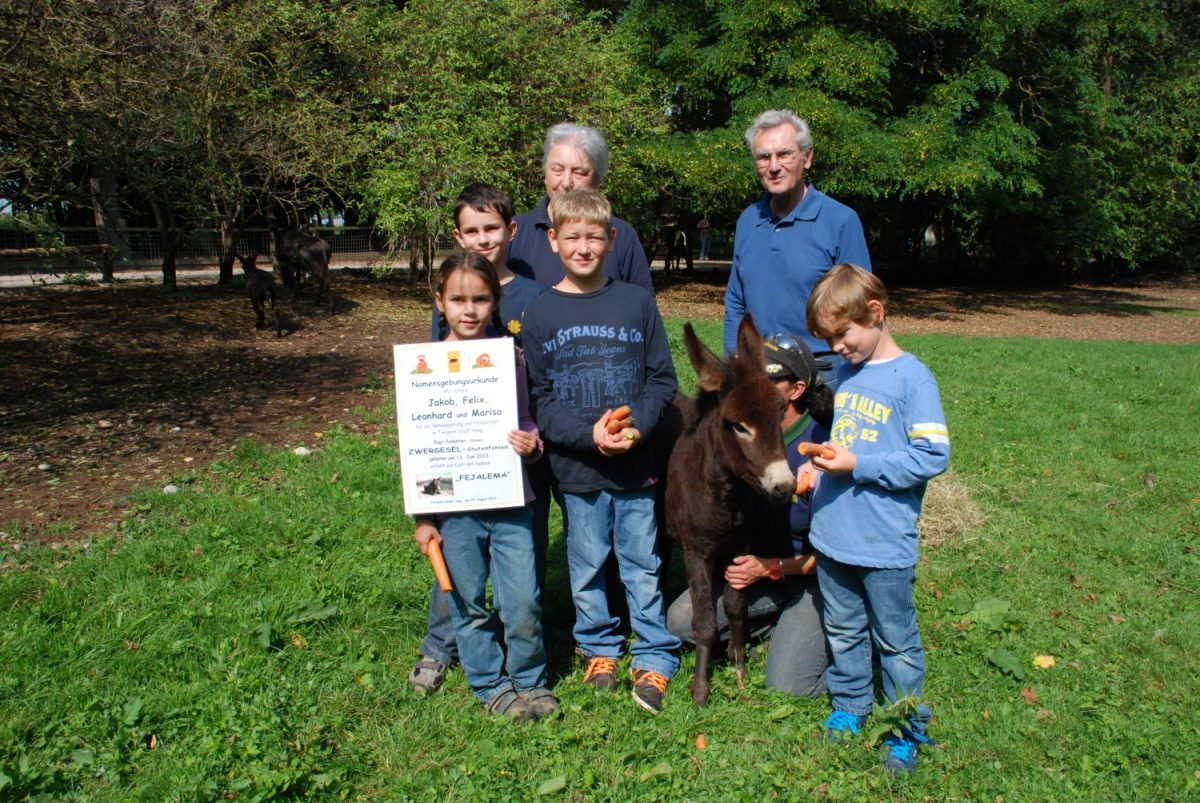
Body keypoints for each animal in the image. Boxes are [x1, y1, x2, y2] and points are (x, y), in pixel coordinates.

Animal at [667, 316, 796, 705]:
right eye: (739, 426)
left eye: (780, 414)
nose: (785, 487)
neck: (726, 497)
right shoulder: (696, 552)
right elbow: (705, 622)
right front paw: (700, 690)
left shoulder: (741, 547)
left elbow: (736, 608)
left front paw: (738, 669)